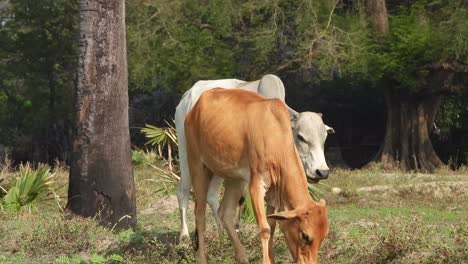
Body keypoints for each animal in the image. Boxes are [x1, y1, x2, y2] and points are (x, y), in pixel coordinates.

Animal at [175, 74, 332, 239]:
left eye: (325, 138)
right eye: (301, 137)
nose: (322, 172)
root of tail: (187, 96)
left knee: (211, 195)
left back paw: (221, 233)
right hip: (187, 154)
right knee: (183, 191)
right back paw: (184, 235)